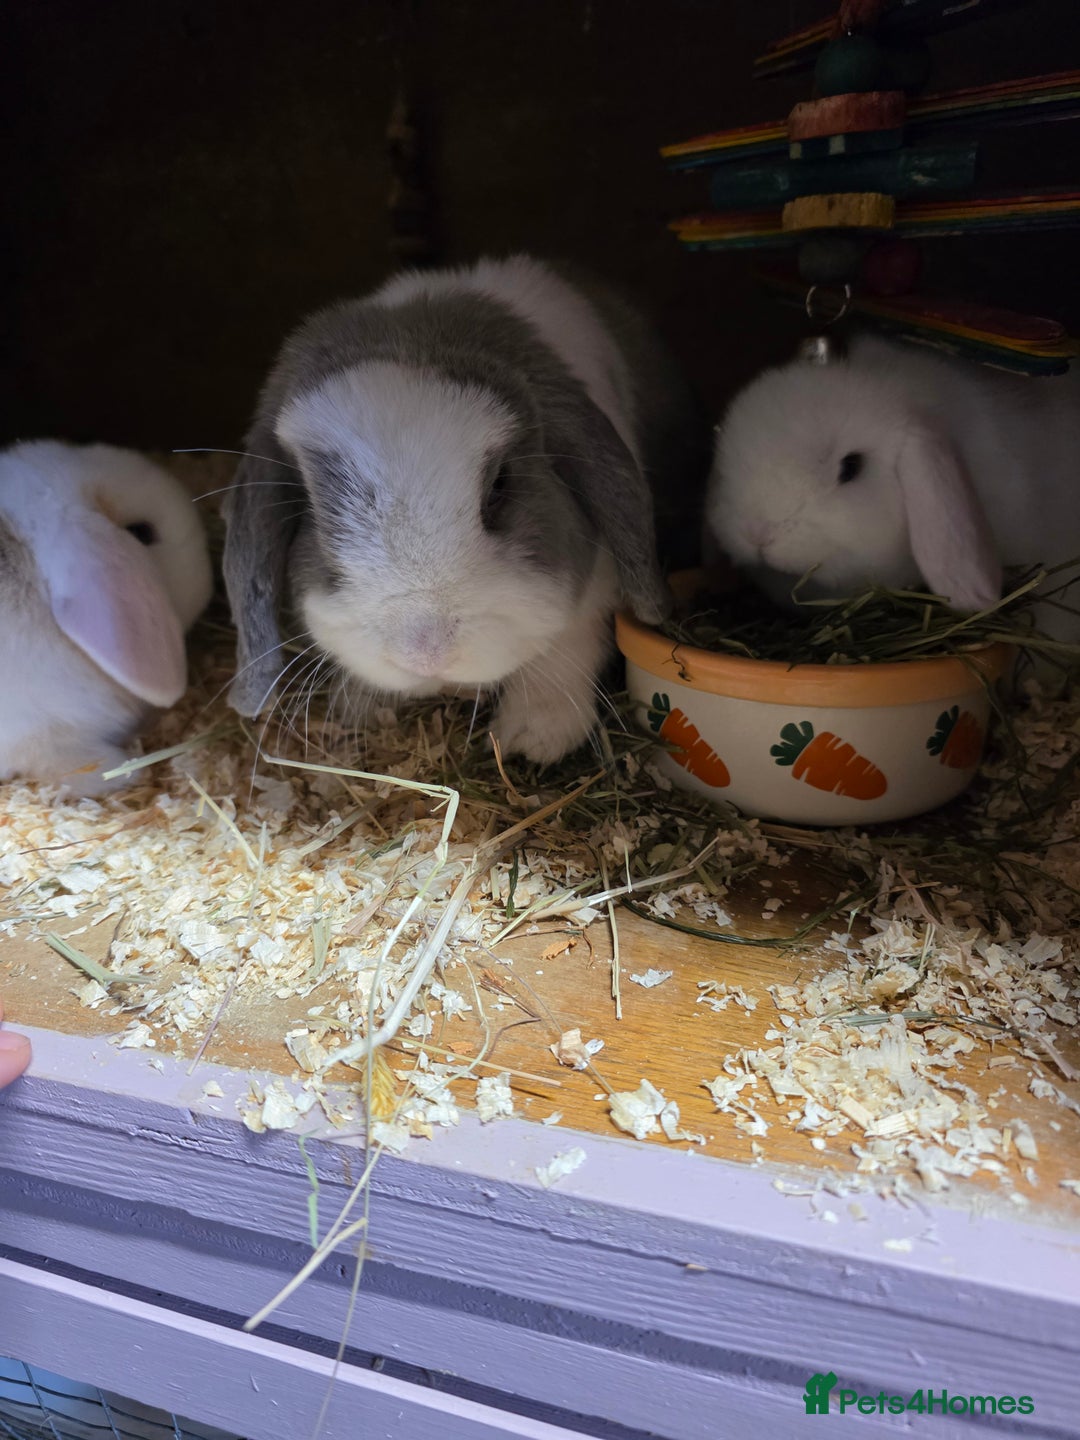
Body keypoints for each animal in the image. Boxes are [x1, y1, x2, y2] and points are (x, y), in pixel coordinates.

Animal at [223, 254, 709, 763]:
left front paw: (534, 738)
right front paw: (359, 705)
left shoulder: (595, 587)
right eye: (315, 510)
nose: (425, 653)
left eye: (499, 487)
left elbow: (568, 641)